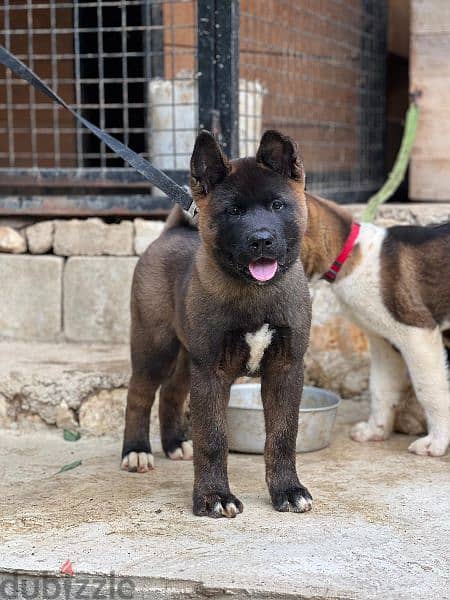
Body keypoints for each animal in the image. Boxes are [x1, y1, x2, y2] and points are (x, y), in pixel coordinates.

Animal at [121, 130, 314, 516]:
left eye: (277, 205)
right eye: (234, 211)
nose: (261, 240)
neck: (256, 293)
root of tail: (170, 234)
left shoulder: (285, 368)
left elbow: (283, 436)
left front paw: (287, 490)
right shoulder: (211, 370)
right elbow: (212, 438)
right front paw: (213, 497)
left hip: (186, 355)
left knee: (172, 392)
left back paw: (175, 443)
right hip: (155, 346)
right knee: (140, 393)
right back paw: (136, 451)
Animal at [302, 195, 450, 458]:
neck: (349, 253)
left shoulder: (417, 332)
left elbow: (430, 389)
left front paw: (436, 442)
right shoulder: (384, 342)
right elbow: (381, 388)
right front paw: (375, 431)